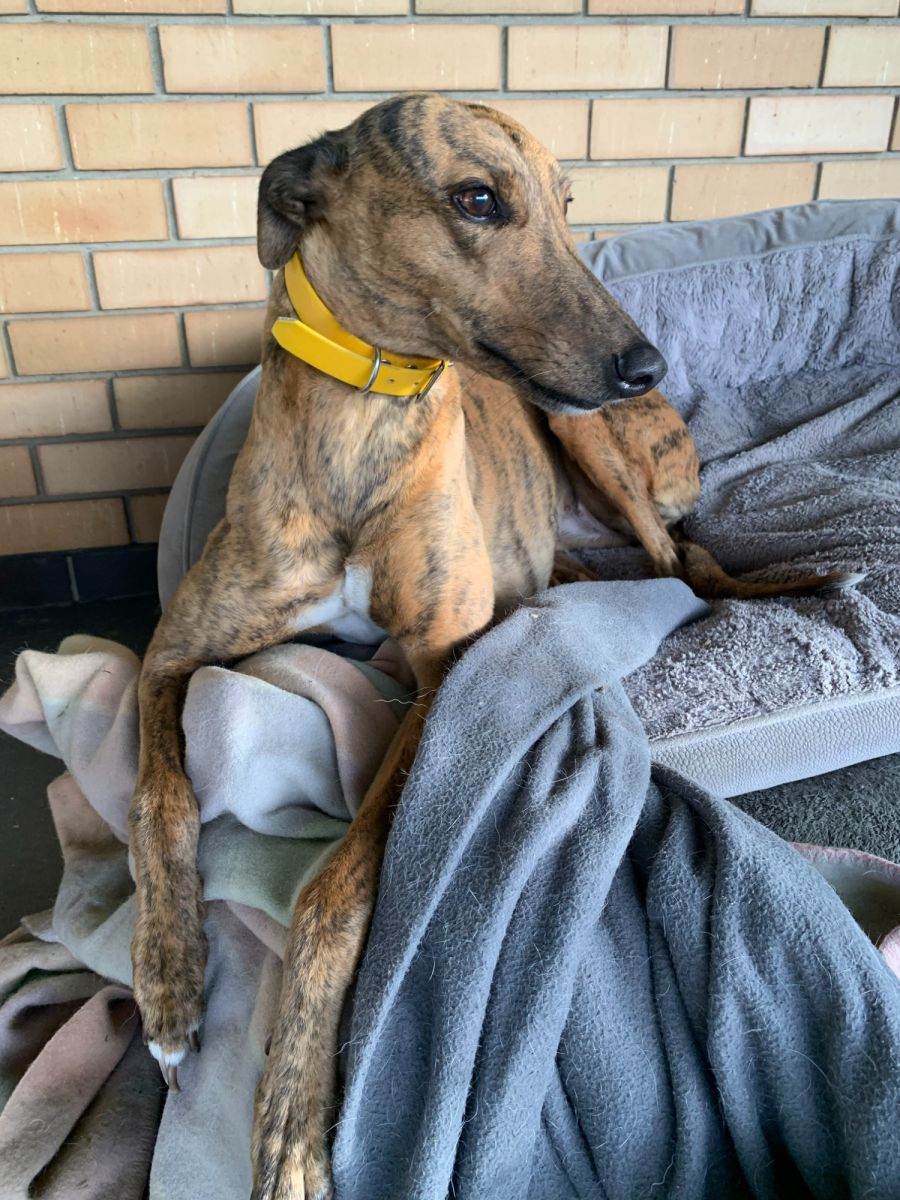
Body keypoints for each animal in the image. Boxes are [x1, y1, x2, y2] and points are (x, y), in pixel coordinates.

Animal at [127, 94, 849, 1200]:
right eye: (477, 199)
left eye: (566, 206)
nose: (646, 364)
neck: (367, 413)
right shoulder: (173, 653)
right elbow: (159, 798)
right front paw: (166, 988)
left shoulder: (438, 676)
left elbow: (335, 889)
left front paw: (292, 1121)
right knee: (632, 570)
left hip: (596, 444)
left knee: (694, 569)